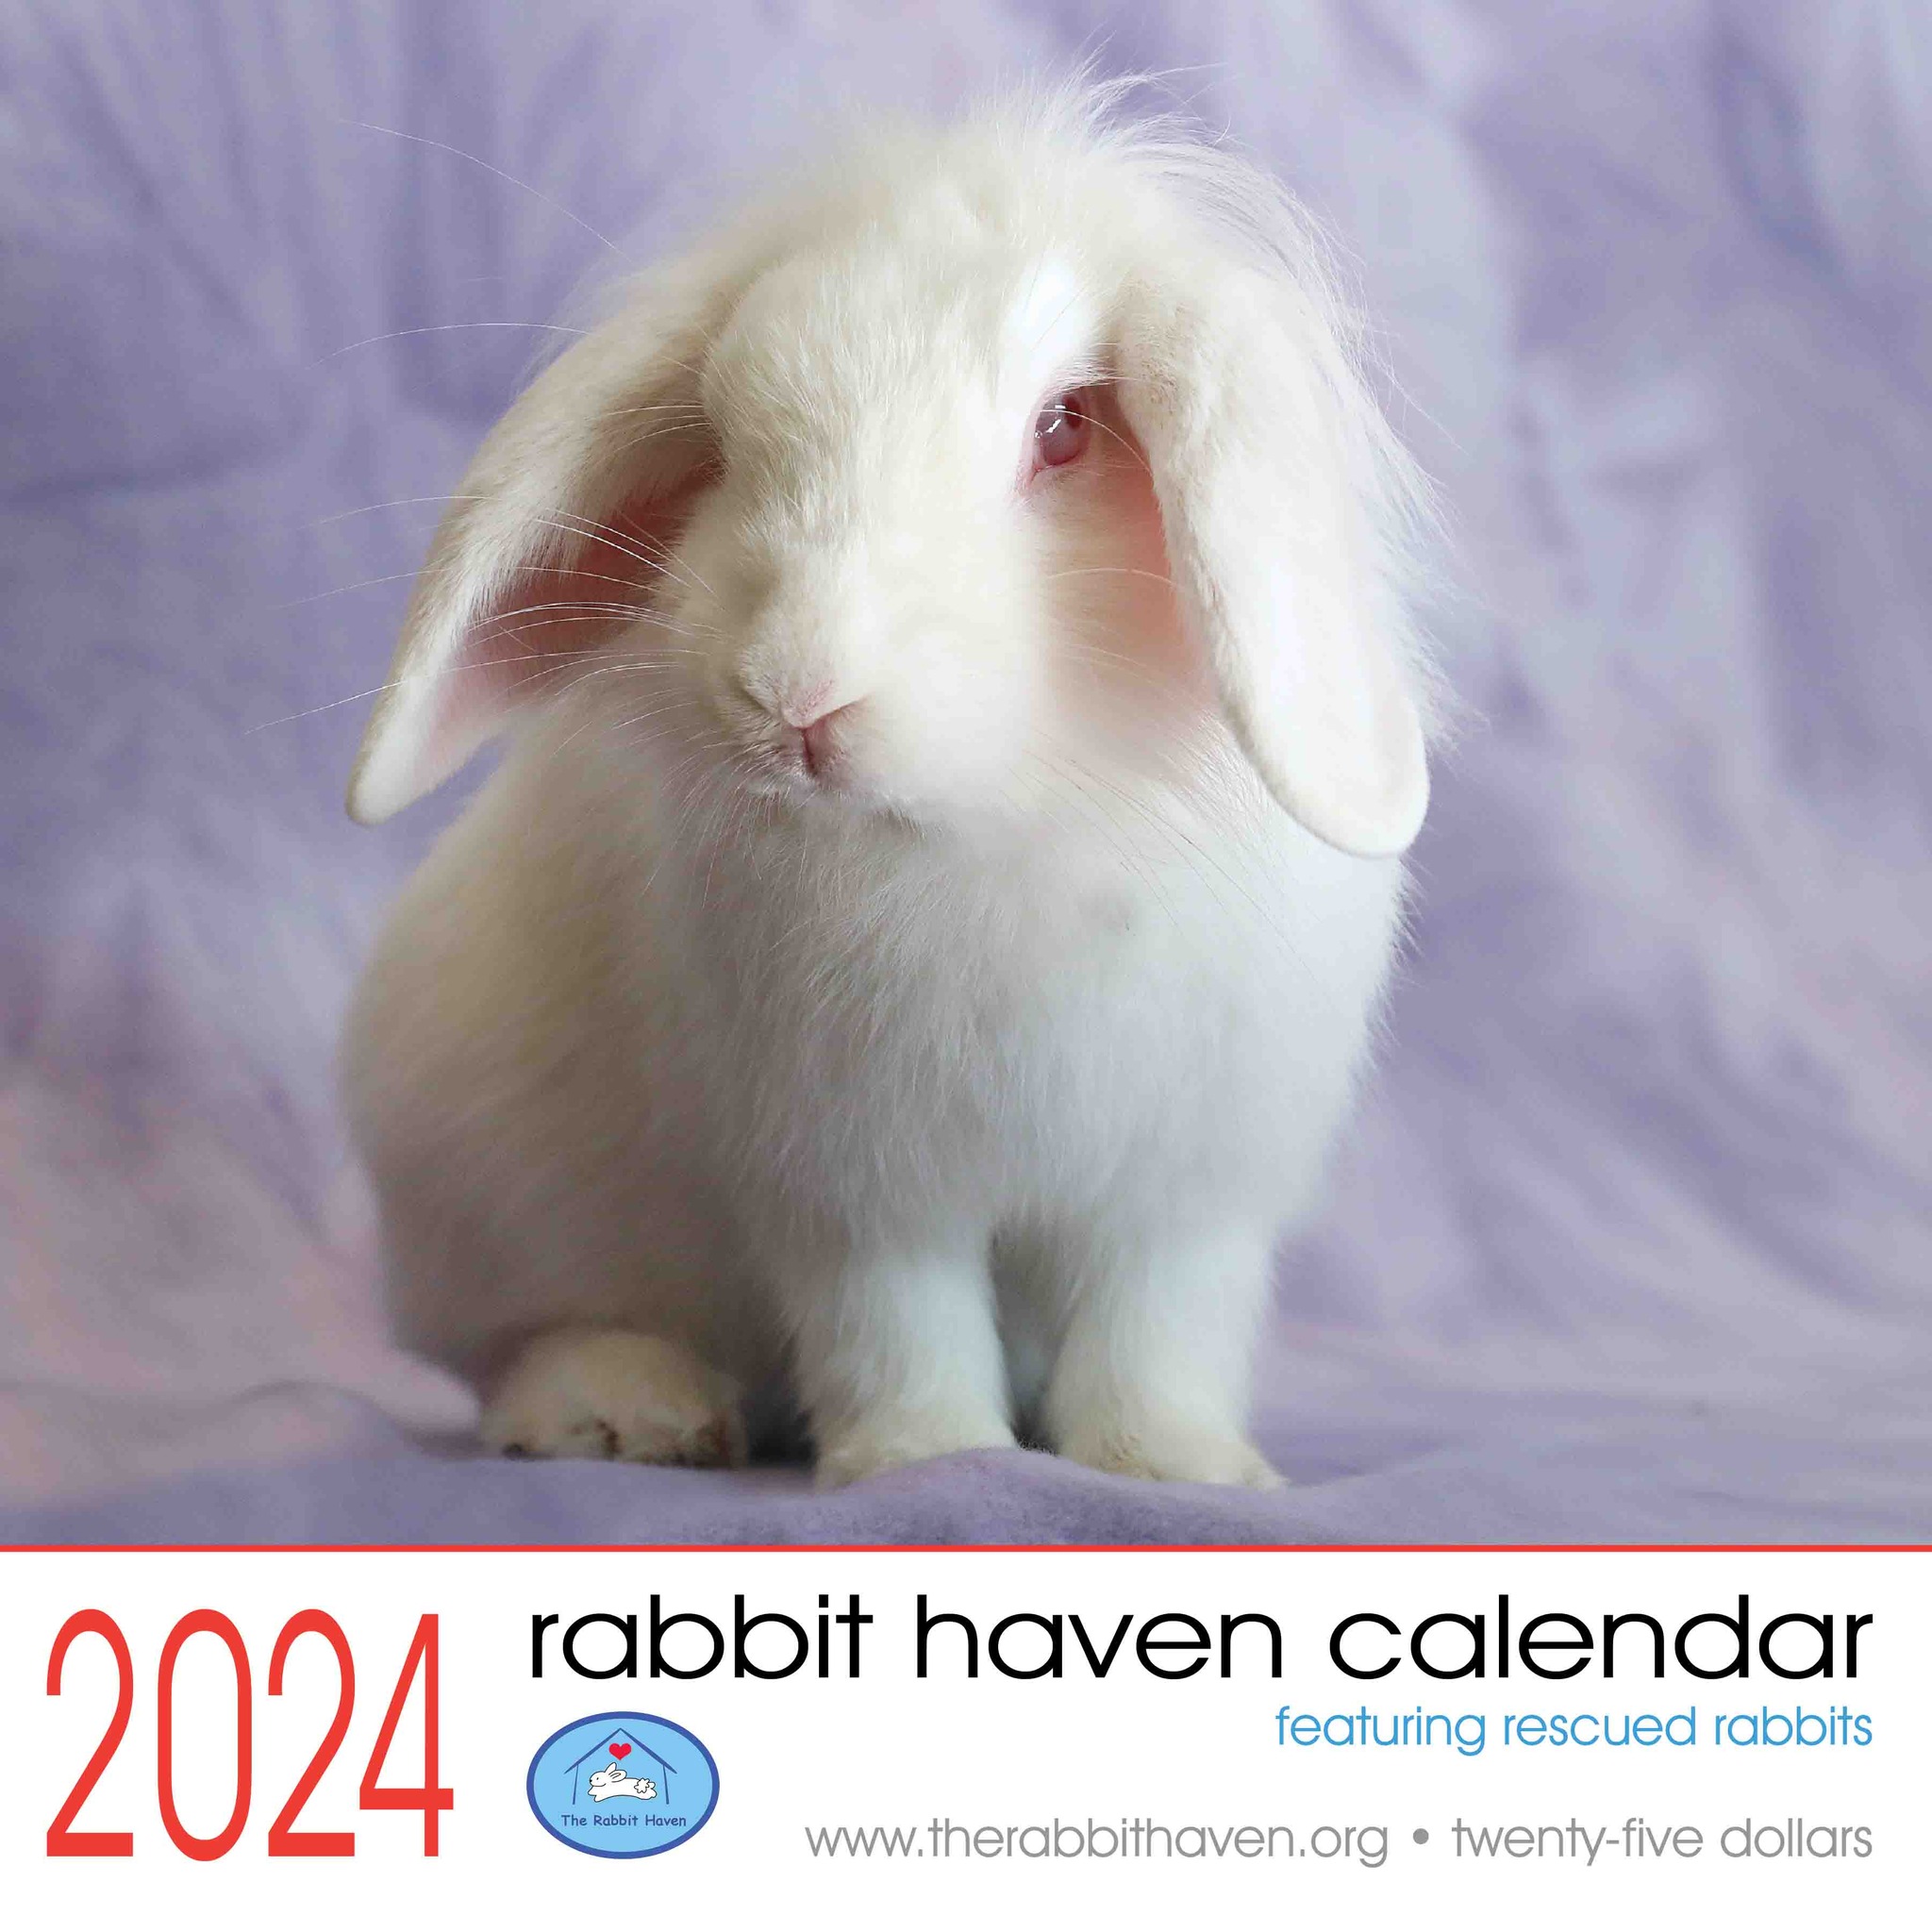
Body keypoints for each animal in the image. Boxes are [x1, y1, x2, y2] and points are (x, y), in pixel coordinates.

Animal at [339, 81, 1441, 1492]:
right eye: (723, 431)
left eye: (1063, 427)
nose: (796, 697)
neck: (994, 828)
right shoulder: (848, 1191)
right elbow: (895, 1329)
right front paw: (928, 1463)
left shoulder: (1182, 1194)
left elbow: (1156, 1336)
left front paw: (1176, 1466)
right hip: (481, 1179)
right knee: (514, 1348)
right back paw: (634, 1409)